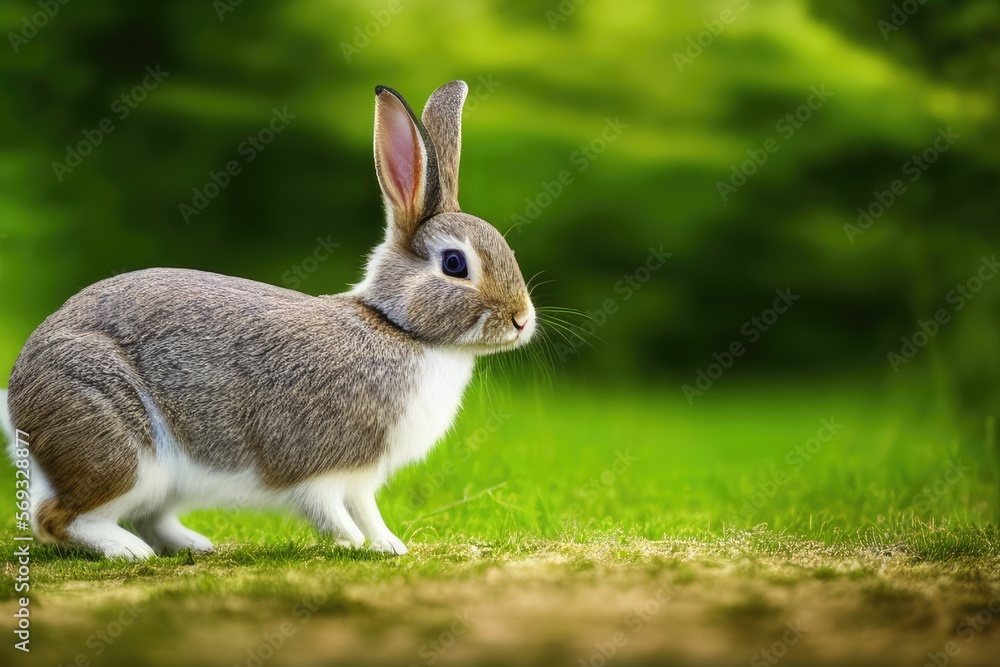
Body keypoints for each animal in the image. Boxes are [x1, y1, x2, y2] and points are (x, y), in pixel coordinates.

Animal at [3, 80, 536, 560]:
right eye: (455, 264)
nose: (521, 320)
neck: (397, 325)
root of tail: (17, 402)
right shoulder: (319, 466)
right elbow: (330, 508)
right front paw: (355, 544)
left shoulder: (361, 478)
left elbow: (367, 510)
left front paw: (388, 545)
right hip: (120, 449)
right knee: (55, 519)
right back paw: (127, 552)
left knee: (144, 517)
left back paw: (192, 545)